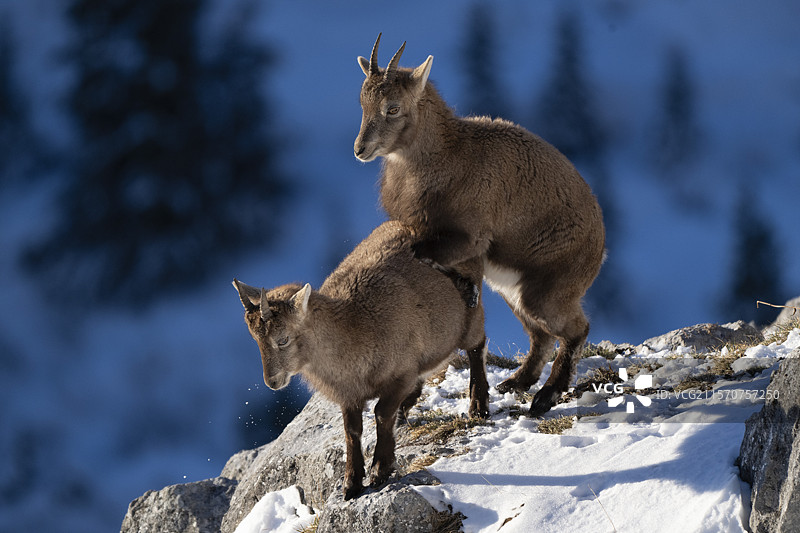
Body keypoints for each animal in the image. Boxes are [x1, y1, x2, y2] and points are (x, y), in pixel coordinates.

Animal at [233, 221, 488, 500]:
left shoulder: (401, 374)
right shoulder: (349, 394)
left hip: (470, 316)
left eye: (283, 339)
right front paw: (351, 483)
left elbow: (381, 414)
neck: (355, 329)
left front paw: (379, 470)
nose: (272, 382)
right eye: (255, 340)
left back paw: (478, 405)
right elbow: (351, 430)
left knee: (477, 347)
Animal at [354, 35, 606, 417]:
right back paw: (516, 382)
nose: (360, 149)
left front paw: (469, 290)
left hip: (549, 291)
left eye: (393, 108)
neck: (447, 158)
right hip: (514, 291)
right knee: (542, 336)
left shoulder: (470, 236)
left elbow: (425, 253)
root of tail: (600, 245)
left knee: (576, 330)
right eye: (362, 102)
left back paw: (545, 396)